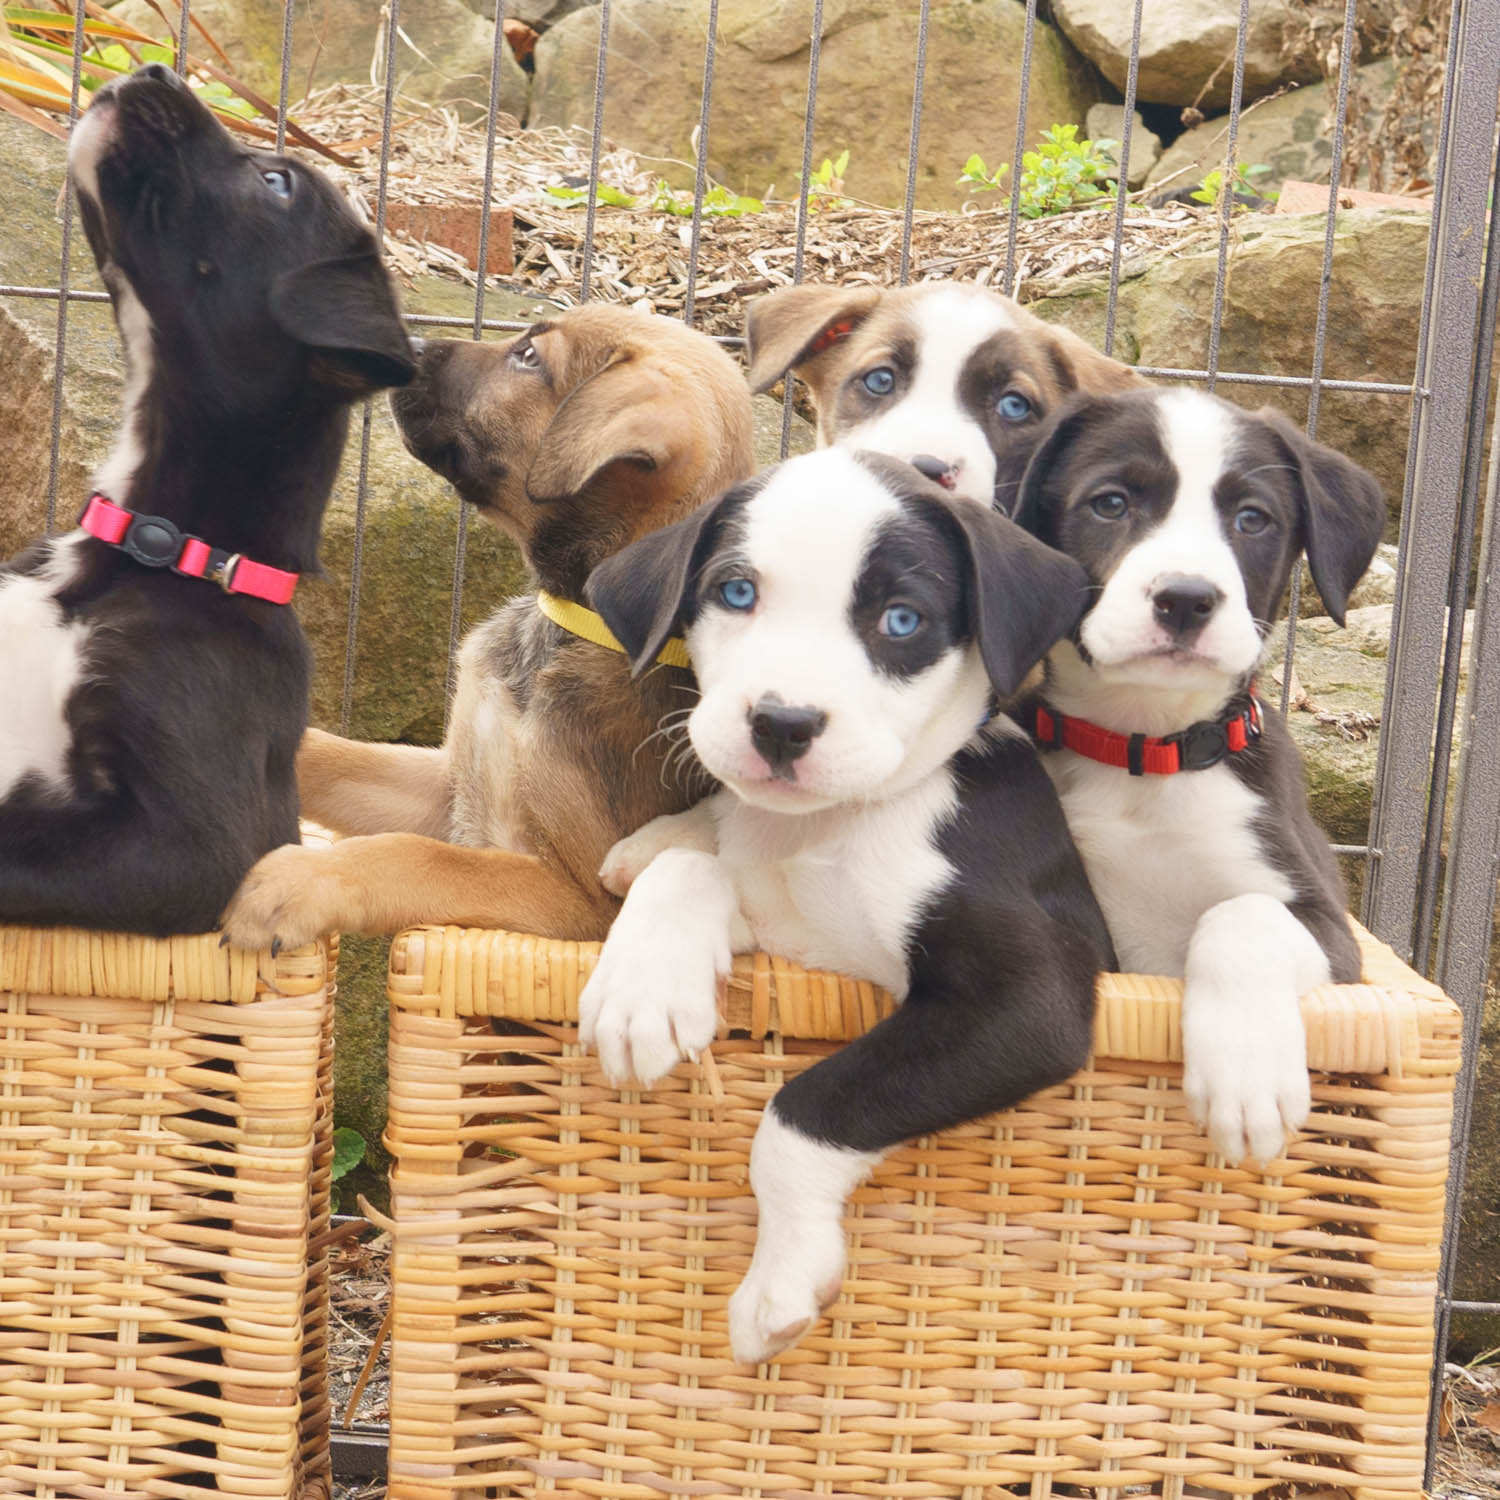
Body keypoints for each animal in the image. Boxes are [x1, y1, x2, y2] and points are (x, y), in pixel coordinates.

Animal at [219, 305, 754, 948]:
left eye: (528, 358)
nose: (410, 344)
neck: (578, 626)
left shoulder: (580, 903)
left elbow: (422, 858)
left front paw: (297, 882)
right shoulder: (450, 785)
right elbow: (334, 755)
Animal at [578, 447, 1117, 1364]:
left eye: (902, 620)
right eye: (736, 593)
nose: (782, 724)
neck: (825, 829)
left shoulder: (1029, 997)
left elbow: (806, 1107)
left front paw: (781, 1279)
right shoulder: (780, 919)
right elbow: (692, 865)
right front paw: (641, 992)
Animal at [1008, 387, 1386, 1165]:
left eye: (1252, 519)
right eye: (1111, 503)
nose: (1185, 598)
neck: (1147, 754)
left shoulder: (1332, 933)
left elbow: (1240, 914)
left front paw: (1246, 1083)